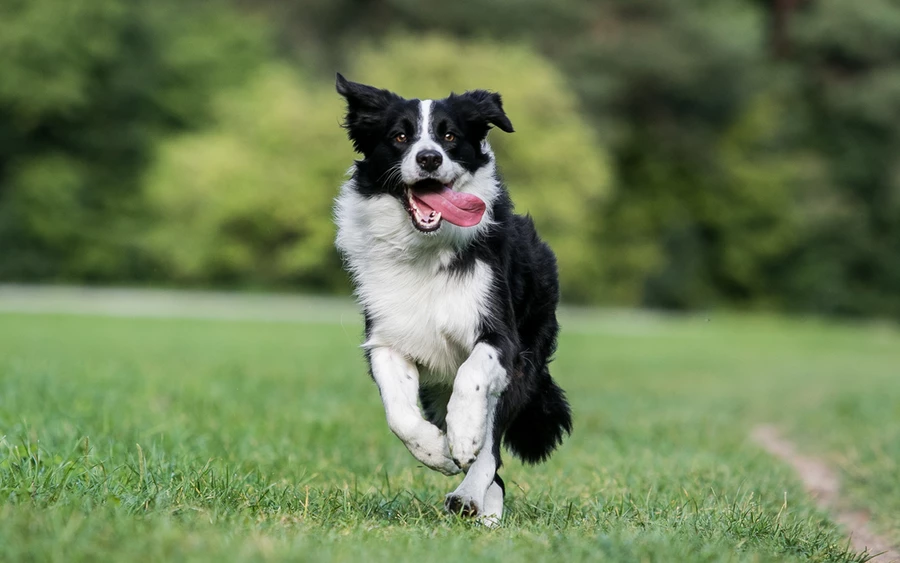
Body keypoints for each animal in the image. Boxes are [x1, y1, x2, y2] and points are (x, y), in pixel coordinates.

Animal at [334, 74, 572, 524]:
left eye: (449, 136)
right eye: (400, 136)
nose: (428, 158)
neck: (426, 251)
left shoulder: (501, 337)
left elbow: (472, 379)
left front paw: (461, 437)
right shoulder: (387, 339)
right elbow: (398, 413)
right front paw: (436, 451)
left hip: (525, 364)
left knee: (492, 448)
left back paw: (472, 497)